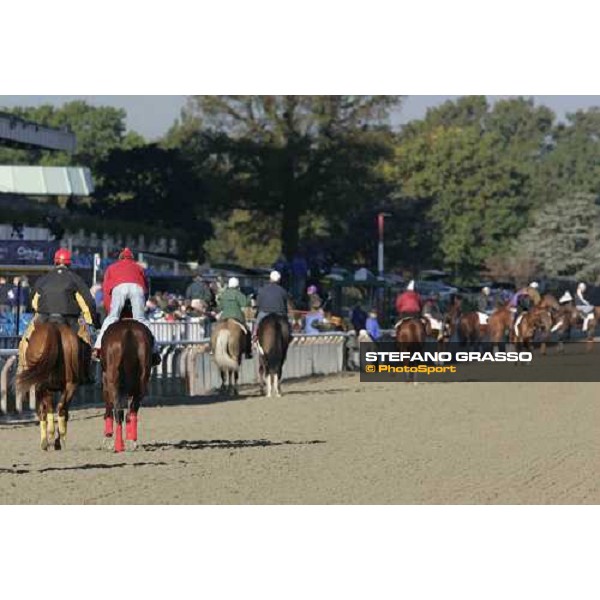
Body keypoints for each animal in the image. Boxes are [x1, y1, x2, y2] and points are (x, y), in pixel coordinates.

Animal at [17, 322, 86, 452]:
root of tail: (55, 329)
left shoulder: (40, 389)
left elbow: (42, 411)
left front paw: (45, 442)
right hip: (71, 384)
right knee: (61, 408)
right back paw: (60, 439)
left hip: (44, 385)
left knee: (49, 409)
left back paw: (48, 438)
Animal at [100, 322, 152, 452]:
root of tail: (128, 332)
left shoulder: (105, 380)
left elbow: (109, 407)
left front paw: (108, 438)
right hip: (143, 380)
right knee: (132, 410)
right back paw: (131, 441)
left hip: (112, 380)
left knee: (118, 411)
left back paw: (119, 445)